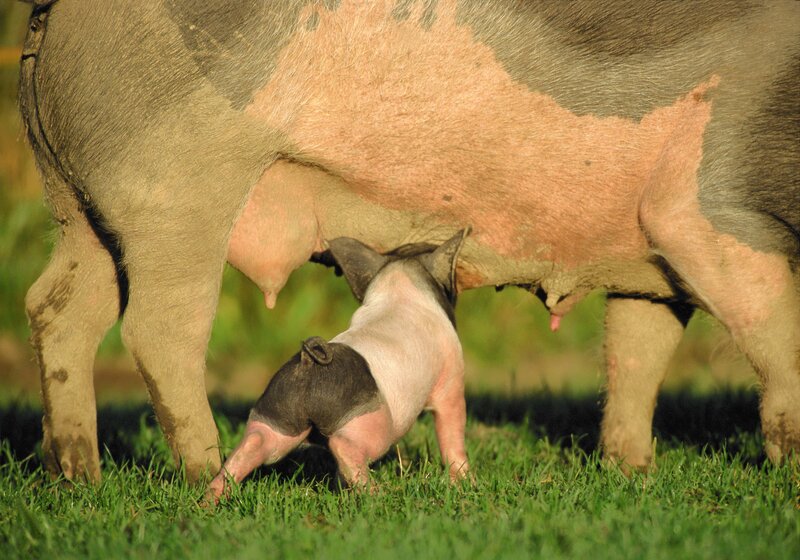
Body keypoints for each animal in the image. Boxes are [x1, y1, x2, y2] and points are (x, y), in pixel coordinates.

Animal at [208, 230, 470, 498]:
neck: (401, 287)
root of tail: (308, 364)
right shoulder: (451, 376)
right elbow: (452, 428)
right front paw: (465, 484)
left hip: (275, 413)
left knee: (256, 443)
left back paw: (209, 500)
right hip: (370, 420)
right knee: (345, 445)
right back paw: (376, 494)